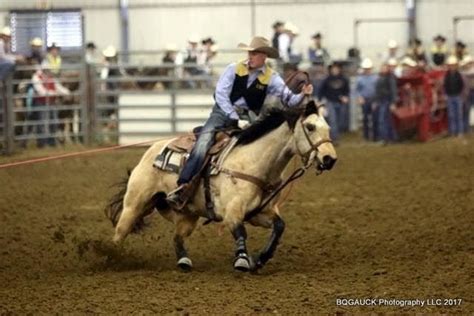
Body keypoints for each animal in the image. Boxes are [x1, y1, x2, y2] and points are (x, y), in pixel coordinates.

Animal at [106, 98, 338, 272]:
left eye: (328, 127)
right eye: (310, 127)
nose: (330, 159)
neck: (253, 161)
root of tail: (152, 150)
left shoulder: (258, 213)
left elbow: (279, 226)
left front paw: (260, 259)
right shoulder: (232, 212)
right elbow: (240, 231)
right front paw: (243, 260)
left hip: (187, 215)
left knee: (177, 237)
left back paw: (183, 261)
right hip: (135, 204)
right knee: (120, 232)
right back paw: (112, 258)